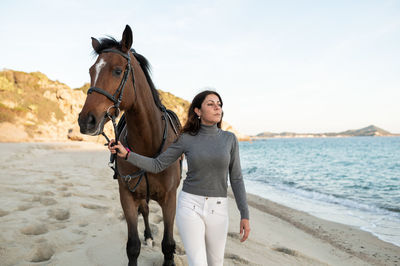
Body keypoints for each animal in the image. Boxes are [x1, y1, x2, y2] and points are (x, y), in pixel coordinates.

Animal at [77, 25, 183, 266]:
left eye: (117, 71)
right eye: (91, 71)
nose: (86, 121)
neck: (148, 147)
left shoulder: (170, 199)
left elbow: (168, 245)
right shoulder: (126, 195)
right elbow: (132, 246)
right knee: (145, 209)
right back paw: (148, 236)